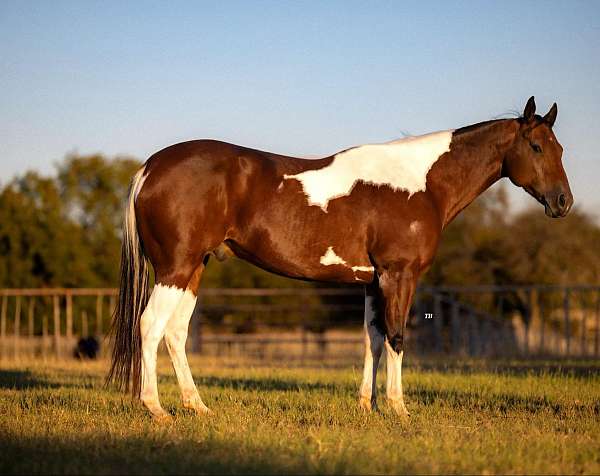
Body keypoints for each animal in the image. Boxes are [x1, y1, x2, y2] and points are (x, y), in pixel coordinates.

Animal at [106, 96, 572, 420]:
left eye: (560, 149)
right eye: (535, 146)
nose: (563, 202)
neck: (420, 184)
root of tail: (150, 168)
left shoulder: (372, 281)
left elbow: (373, 338)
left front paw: (367, 405)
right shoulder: (399, 275)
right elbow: (397, 336)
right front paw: (399, 408)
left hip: (192, 269)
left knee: (175, 332)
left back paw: (197, 406)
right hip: (175, 267)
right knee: (150, 326)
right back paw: (156, 408)